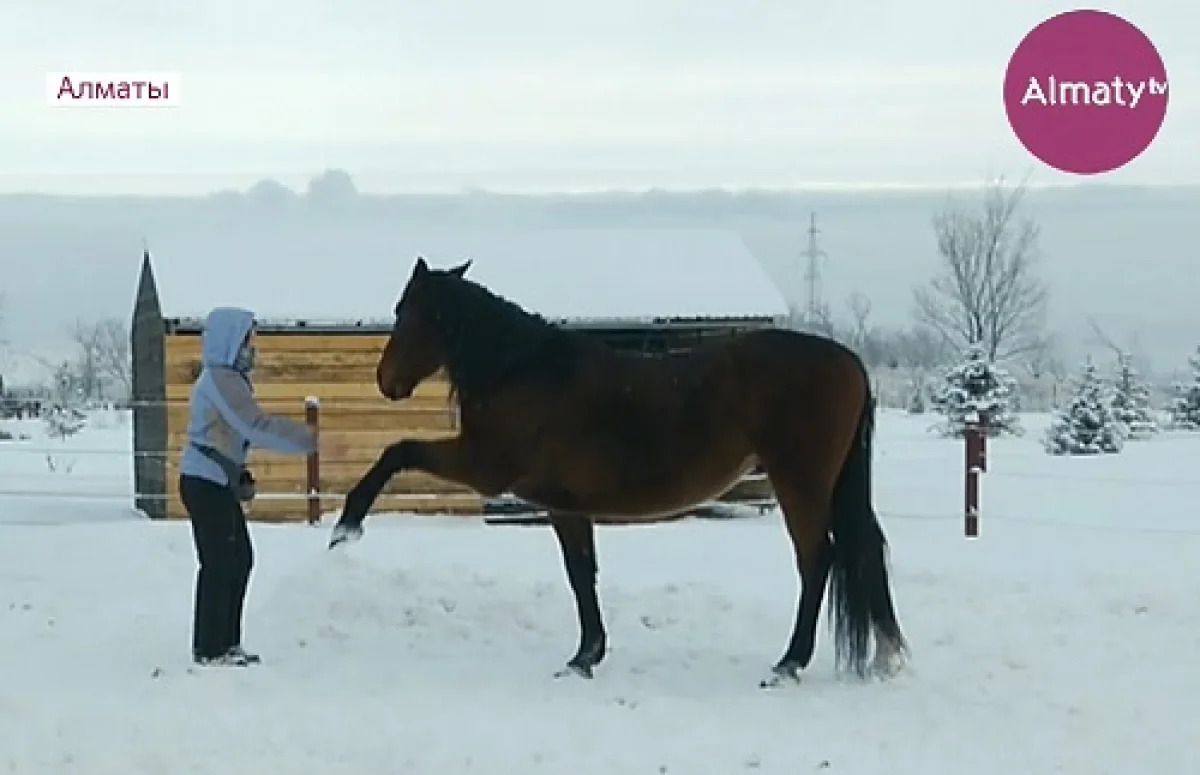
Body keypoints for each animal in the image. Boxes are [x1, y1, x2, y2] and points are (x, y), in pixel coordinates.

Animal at [331, 257, 907, 691]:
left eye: (405, 310)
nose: (385, 380)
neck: (522, 372)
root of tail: (850, 362)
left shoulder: (486, 468)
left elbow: (398, 451)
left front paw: (346, 525)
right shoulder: (565, 505)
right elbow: (582, 574)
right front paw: (588, 655)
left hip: (799, 483)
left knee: (817, 559)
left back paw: (789, 663)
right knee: (858, 552)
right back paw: (882, 654)